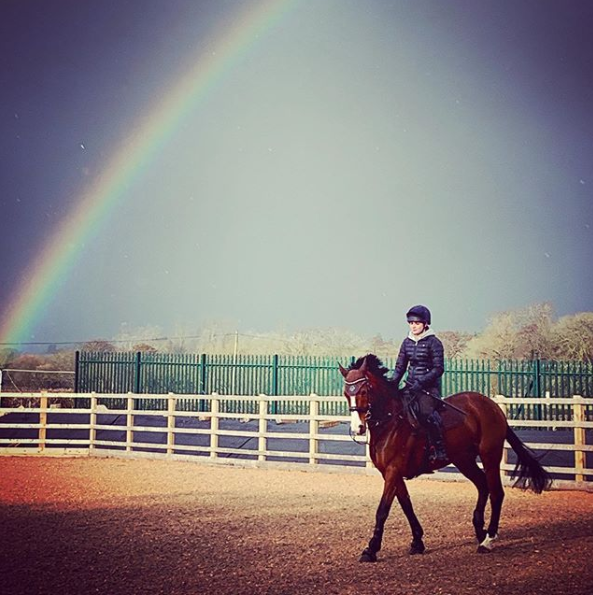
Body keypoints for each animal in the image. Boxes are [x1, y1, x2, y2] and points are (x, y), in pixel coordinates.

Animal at [340, 354, 552, 564]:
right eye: (346, 393)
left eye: (364, 391)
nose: (357, 428)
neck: (391, 421)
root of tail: (491, 406)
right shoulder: (391, 473)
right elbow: (407, 505)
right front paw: (417, 541)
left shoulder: (393, 471)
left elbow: (382, 510)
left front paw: (371, 549)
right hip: (463, 460)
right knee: (483, 485)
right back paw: (480, 531)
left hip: (490, 455)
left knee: (496, 493)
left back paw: (488, 540)